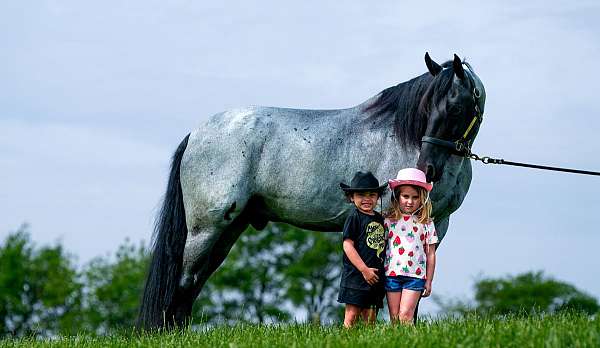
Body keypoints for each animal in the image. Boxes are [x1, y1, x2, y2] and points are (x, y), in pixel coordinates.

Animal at [138, 53, 486, 328]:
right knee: (184, 280)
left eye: (455, 109)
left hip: (228, 229)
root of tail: (196, 134)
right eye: (428, 107)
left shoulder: (437, 223)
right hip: (206, 228)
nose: (425, 169)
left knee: (196, 279)